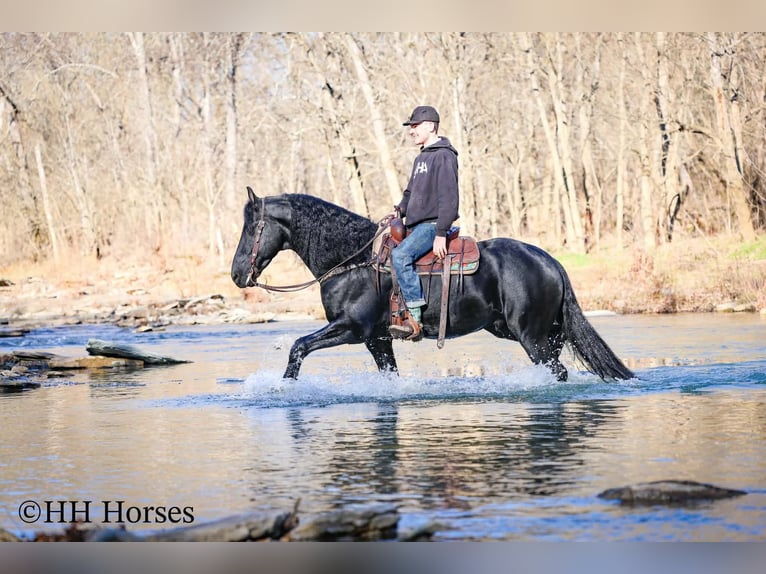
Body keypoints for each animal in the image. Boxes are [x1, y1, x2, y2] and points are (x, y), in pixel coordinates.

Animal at [231, 188, 634, 382]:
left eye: (252, 228)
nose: (236, 275)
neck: (351, 260)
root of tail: (551, 262)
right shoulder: (376, 340)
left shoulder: (351, 329)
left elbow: (298, 347)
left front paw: (283, 387)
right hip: (525, 330)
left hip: (529, 335)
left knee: (557, 371)